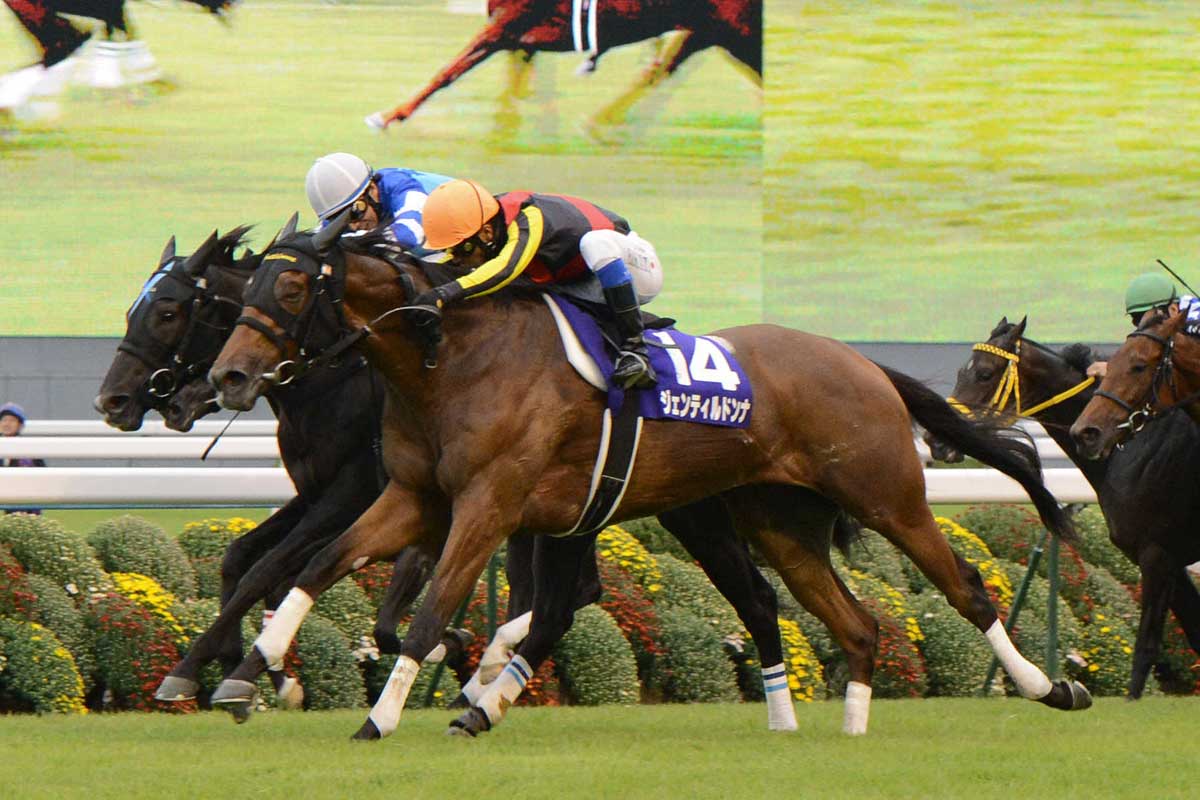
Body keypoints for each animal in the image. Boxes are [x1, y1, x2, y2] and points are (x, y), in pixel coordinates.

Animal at [96, 224, 800, 731]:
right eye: (136, 309)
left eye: (168, 312)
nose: (114, 401)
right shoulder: (331, 492)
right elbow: (247, 561)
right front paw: (255, 674)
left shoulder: (359, 491)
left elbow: (287, 574)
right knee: (577, 591)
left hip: (683, 507)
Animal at [206, 221, 1090, 741]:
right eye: (246, 289)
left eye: (290, 286)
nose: (228, 376)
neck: (446, 357)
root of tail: (864, 361)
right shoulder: (415, 498)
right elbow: (319, 565)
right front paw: (249, 675)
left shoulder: (488, 505)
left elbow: (429, 614)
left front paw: (380, 719)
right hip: (780, 524)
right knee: (856, 623)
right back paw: (847, 726)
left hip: (886, 496)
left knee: (966, 586)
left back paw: (1048, 688)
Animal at [364, 0, 762, 131]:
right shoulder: (520, 42)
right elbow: (512, 96)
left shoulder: (505, 27)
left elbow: (447, 71)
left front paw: (387, 116)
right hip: (709, 34)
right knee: (658, 71)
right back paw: (602, 120)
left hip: (733, 34)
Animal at [933, 316, 1200, 697]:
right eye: (961, 371)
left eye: (985, 374)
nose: (935, 441)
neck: (1134, 446)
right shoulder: (1164, 558)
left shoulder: (1157, 553)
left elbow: (1147, 647)